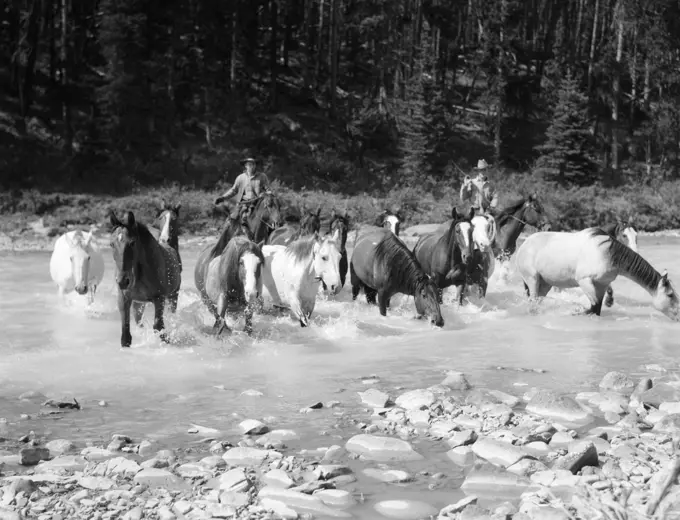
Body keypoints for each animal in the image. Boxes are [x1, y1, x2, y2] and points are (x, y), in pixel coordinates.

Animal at [107, 209, 181, 348]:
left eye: (132, 243)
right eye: (111, 244)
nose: (123, 281)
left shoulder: (159, 299)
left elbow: (159, 327)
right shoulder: (124, 298)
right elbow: (125, 335)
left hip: (173, 296)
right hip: (138, 304)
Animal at [516, 229, 680, 320]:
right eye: (670, 295)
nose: (679, 316)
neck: (608, 254)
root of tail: (524, 244)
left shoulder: (602, 285)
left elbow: (597, 308)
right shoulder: (584, 281)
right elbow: (593, 306)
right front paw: (574, 312)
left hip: (545, 284)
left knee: (536, 302)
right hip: (532, 280)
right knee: (532, 302)